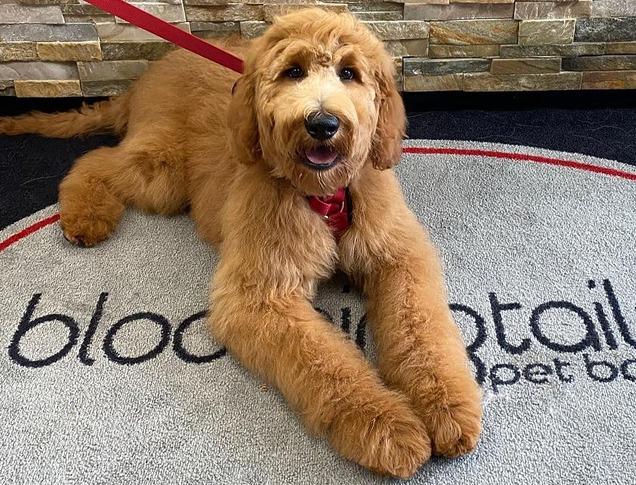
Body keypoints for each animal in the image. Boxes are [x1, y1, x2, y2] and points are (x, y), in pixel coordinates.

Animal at [0, 7, 482, 476]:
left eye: (349, 73)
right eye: (292, 71)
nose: (322, 123)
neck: (324, 195)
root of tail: (147, 75)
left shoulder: (398, 255)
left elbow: (421, 327)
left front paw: (445, 404)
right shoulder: (259, 295)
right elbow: (326, 362)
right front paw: (384, 425)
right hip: (163, 172)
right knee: (95, 160)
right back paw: (86, 215)